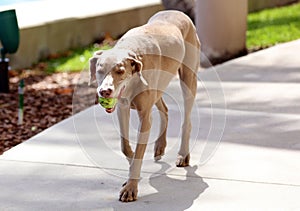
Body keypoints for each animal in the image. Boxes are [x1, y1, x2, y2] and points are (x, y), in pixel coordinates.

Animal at [89, 10, 202, 202]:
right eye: (99, 70)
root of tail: (180, 13)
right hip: (159, 86)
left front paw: (130, 188)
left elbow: (139, 149)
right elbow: (125, 146)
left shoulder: (144, 117)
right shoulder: (123, 108)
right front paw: (131, 166)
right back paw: (160, 145)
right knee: (164, 109)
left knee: (186, 120)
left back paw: (182, 154)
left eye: (120, 71)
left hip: (188, 78)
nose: (105, 91)